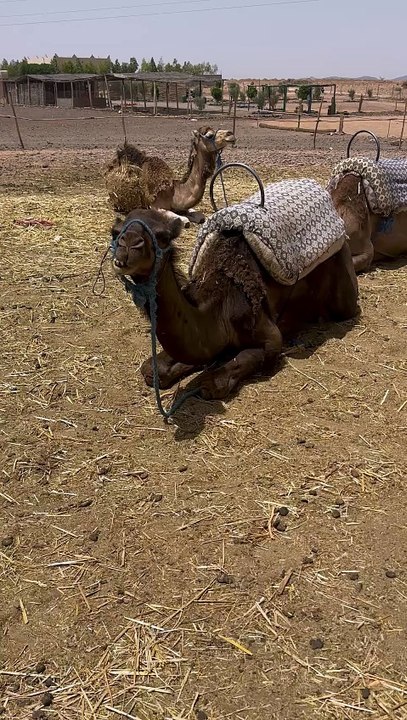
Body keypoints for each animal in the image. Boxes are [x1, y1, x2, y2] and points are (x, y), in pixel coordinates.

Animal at [104, 126, 236, 226]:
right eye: (209, 135)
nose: (231, 134)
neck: (174, 191)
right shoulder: (155, 206)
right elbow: (184, 220)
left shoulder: (182, 206)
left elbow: (200, 216)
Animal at [110, 202, 359, 401]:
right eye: (116, 233)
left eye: (162, 236)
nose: (129, 245)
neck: (219, 305)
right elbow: (155, 368)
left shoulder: (267, 334)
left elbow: (222, 377)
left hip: (344, 286)